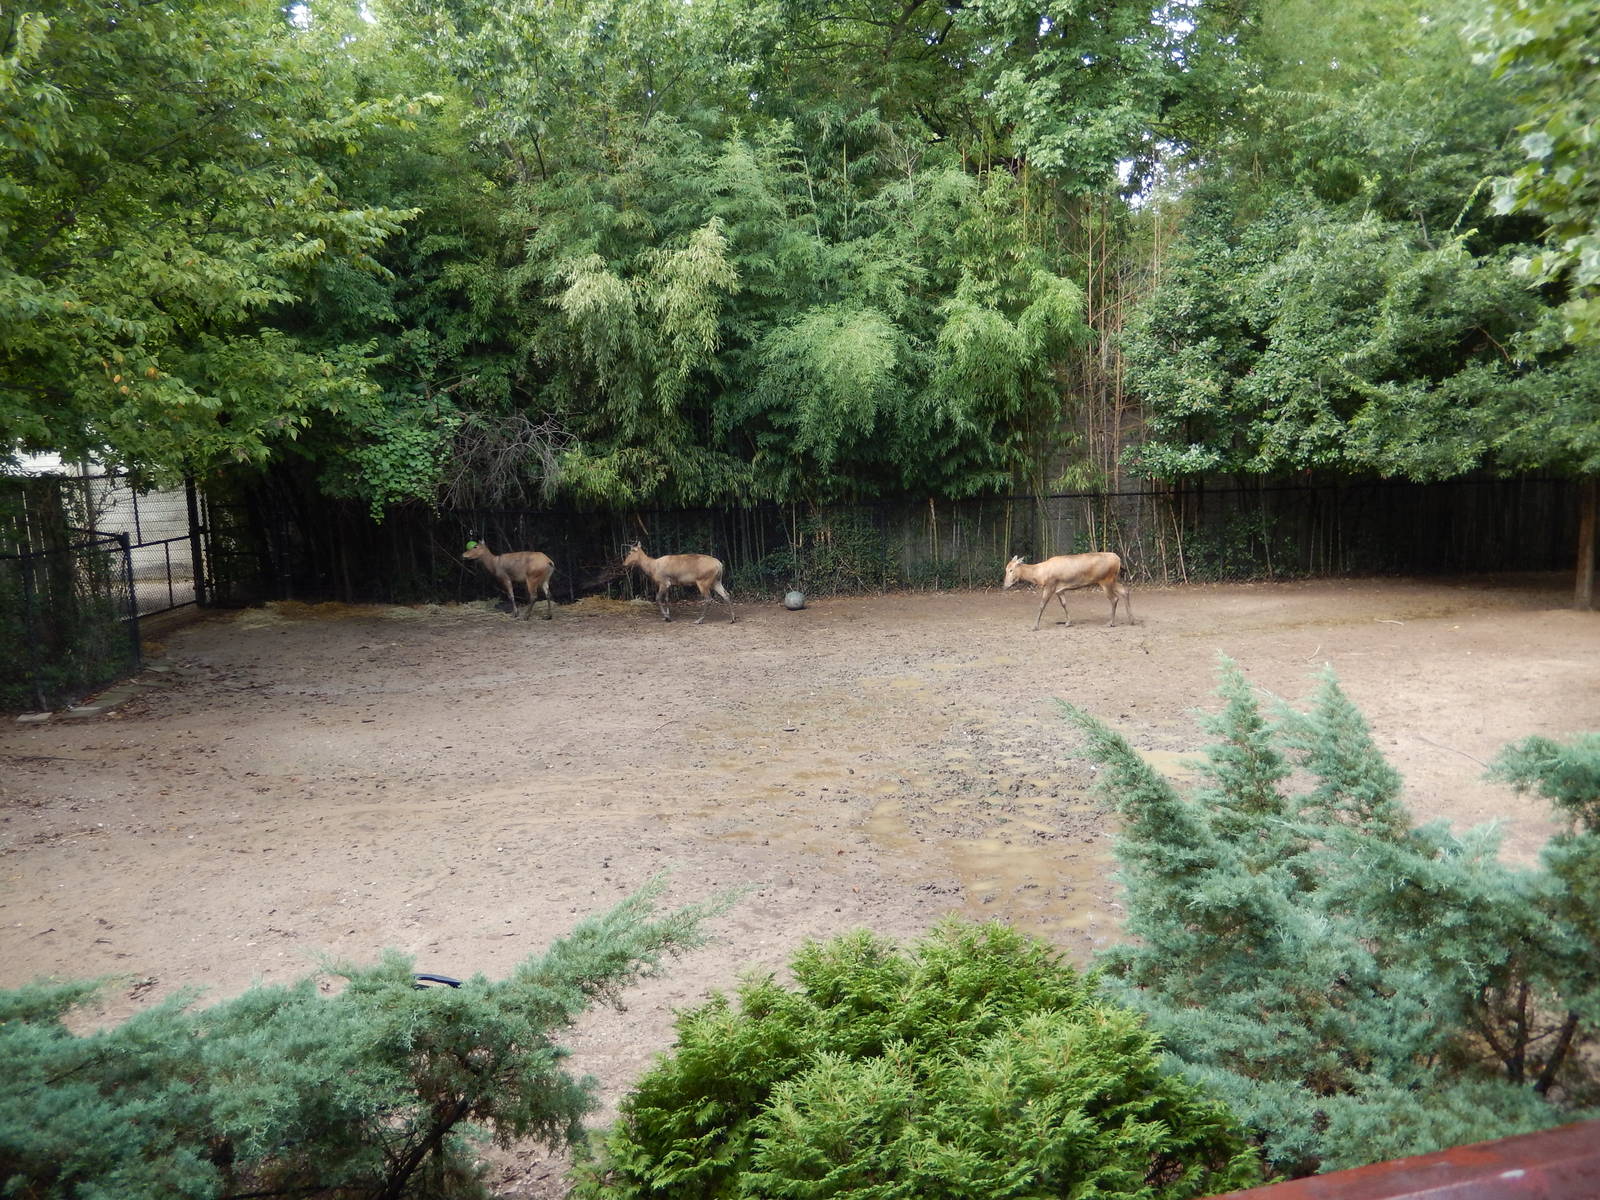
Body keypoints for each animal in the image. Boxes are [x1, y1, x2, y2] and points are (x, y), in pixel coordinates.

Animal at [1003, 552, 1132, 631]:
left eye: (1011, 570)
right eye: (1006, 569)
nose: (1005, 585)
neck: (1040, 575)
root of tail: (1119, 560)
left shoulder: (1050, 585)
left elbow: (1042, 605)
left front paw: (1035, 626)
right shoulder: (1059, 589)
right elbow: (1064, 604)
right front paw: (1068, 622)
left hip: (1106, 580)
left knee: (1114, 598)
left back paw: (1111, 622)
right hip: (1113, 580)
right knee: (1125, 591)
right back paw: (1131, 619)